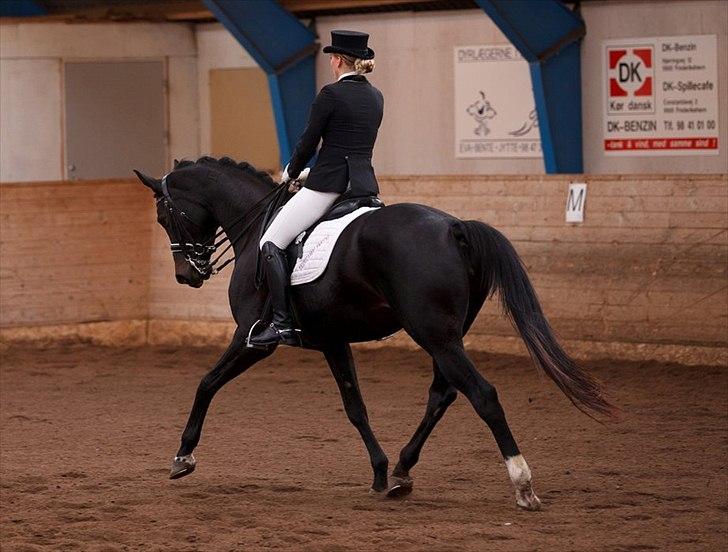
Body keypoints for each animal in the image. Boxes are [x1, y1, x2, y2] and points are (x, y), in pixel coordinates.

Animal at [135, 155, 608, 508]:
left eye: (164, 215)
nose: (185, 276)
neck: (257, 231)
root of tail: (453, 227)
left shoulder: (251, 340)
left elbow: (206, 383)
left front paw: (183, 456)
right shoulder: (332, 341)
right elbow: (355, 407)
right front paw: (380, 472)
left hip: (435, 335)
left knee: (482, 394)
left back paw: (522, 484)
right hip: (445, 336)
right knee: (443, 395)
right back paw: (402, 470)